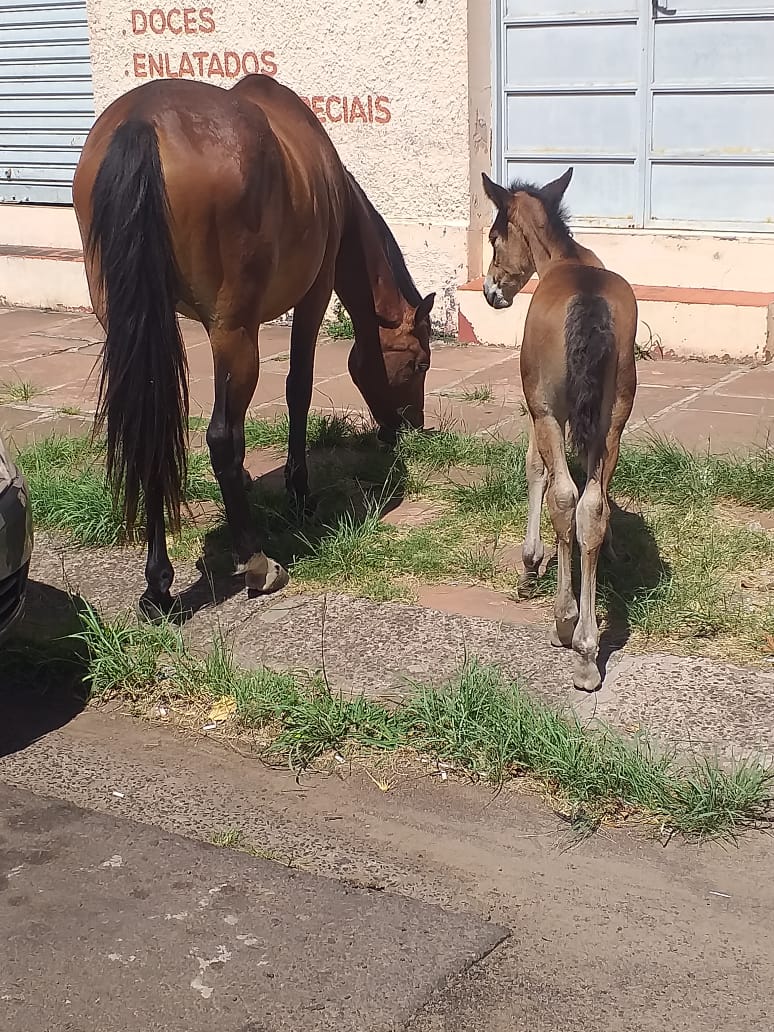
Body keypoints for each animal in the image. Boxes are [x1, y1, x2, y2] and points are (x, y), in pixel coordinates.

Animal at [72, 76, 437, 619]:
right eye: (418, 363)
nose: (408, 425)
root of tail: (142, 122)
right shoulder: (313, 295)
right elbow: (297, 390)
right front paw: (298, 491)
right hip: (233, 330)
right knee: (220, 437)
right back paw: (257, 563)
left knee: (153, 427)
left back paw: (158, 585)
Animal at [482, 169, 639, 689]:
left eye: (493, 237)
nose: (490, 292)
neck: (566, 261)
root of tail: (587, 301)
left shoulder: (540, 408)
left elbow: (538, 471)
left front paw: (531, 561)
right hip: (613, 418)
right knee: (591, 507)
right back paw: (588, 648)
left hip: (550, 410)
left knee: (567, 498)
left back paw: (566, 623)